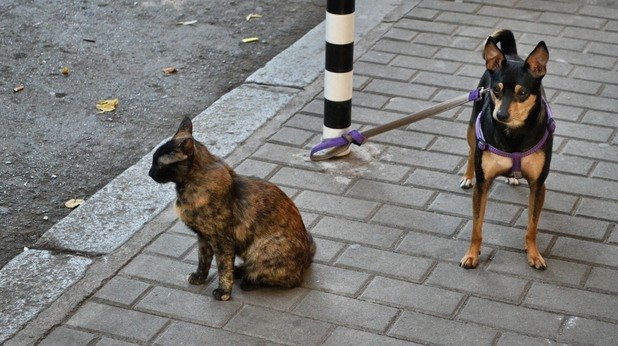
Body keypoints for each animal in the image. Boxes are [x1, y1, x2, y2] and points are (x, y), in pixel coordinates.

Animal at [148, 116, 312, 300]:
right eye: (152, 160)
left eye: (159, 164)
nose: (149, 173)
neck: (191, 184)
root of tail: (307, 260)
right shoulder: (203, 238)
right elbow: (203, 260)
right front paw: (199, 277)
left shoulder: (222, 241)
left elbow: (223, 267)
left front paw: (224, 292)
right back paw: (240, 271)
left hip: (263, 248)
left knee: (285, 279)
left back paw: (248, 280)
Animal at [458, 30, 552, 270]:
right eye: (496, 90)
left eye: (523, 93)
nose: (500, 115)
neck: (514, 135)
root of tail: (510, 53)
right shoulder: (483, 186)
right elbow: (477, 227)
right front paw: (472, 255)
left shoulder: (538, 186)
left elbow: (532, 226)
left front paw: (534, 253)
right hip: (472, 128)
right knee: (471, 151)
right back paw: (467, 176)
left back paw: (512, 177)